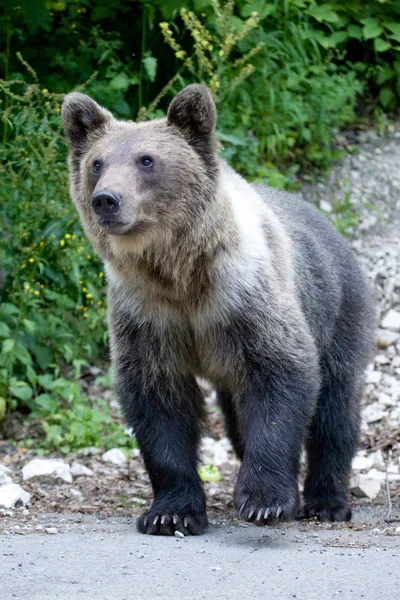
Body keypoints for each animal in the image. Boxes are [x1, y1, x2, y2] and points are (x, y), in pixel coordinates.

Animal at [61, 83, 376, 536]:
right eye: (97, 163)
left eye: (146, 160)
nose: (107, 199)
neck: (179, 274)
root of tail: (329, 224)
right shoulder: (147, 313)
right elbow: (158, 399)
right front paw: (170, 512)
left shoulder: (243, 299)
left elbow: (283, 376)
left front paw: (265, 502)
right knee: (237, 418)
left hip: (338, 309)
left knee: (336, 406)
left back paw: (325, 501)